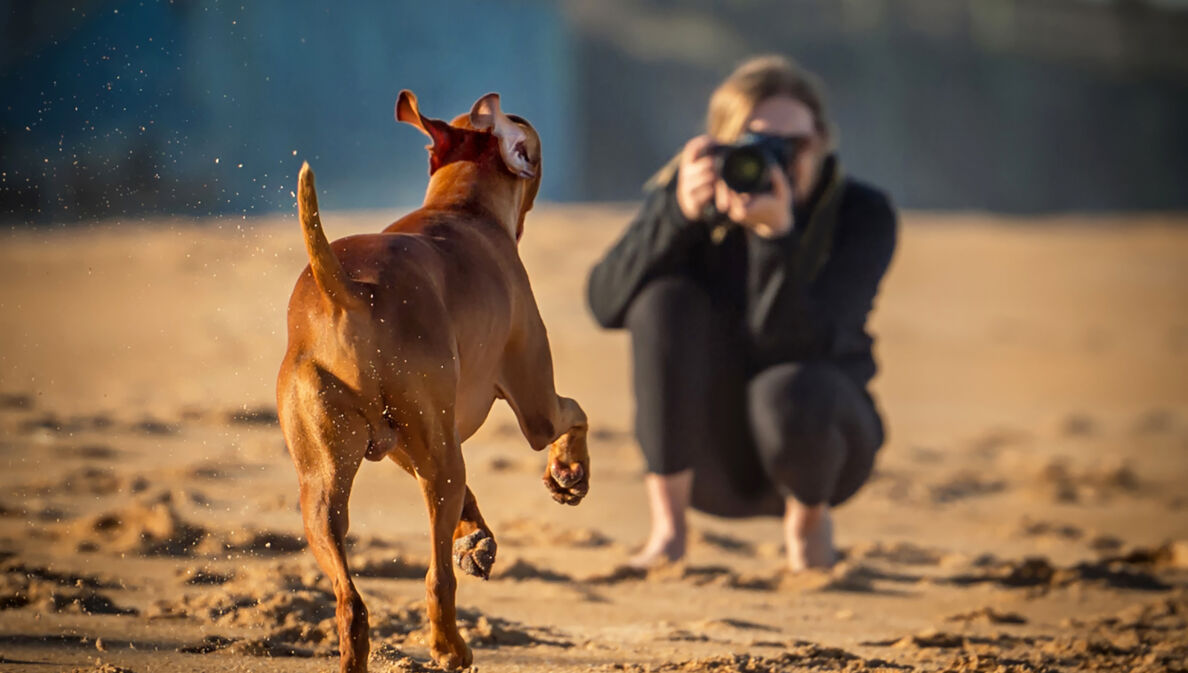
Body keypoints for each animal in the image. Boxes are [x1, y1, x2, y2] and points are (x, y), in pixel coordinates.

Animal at [279, 90, 594, 673]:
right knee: (435, 578)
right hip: (440, 458)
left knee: (350, 599)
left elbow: (468, 504)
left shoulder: (410, 447)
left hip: (324, 482)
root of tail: (348, 290)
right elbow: (574, 414)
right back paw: (451, 647)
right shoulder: (533, 405)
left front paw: (477, 539)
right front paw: (569, 472)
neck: (459, 207)